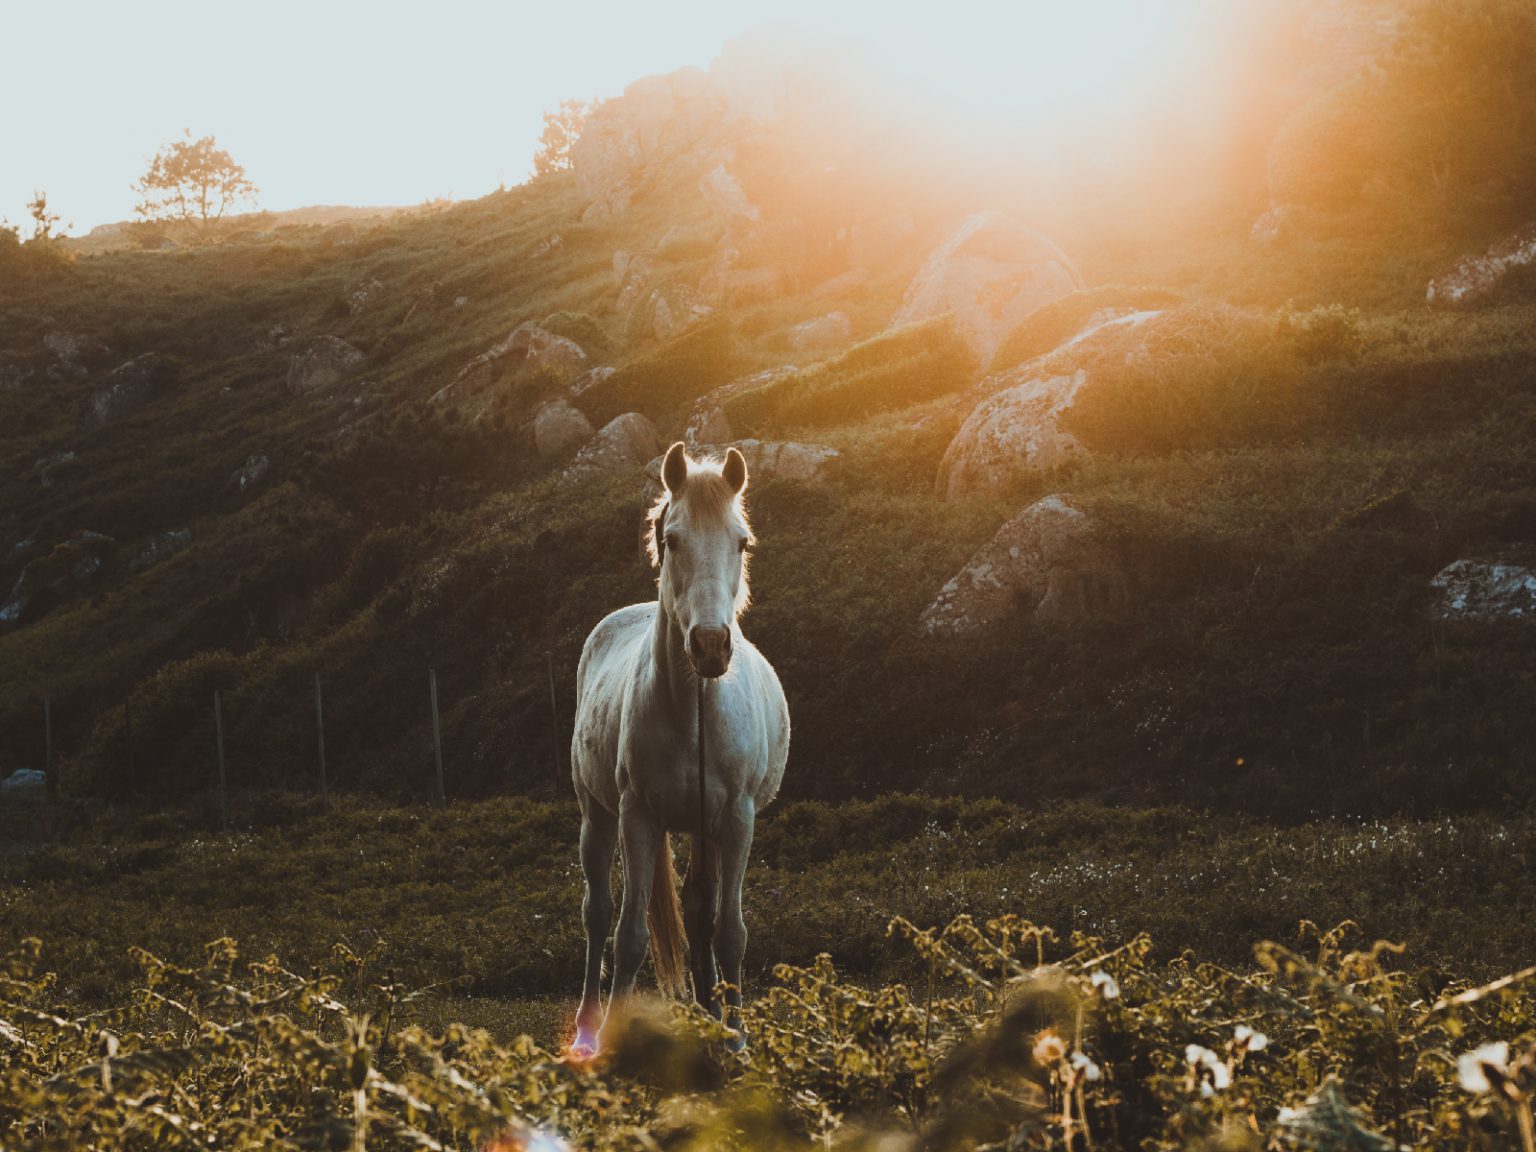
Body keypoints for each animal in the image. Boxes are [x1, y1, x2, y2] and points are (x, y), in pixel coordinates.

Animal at [574, 442, 792, 1056]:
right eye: (672, 540)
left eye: (741, 542)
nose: (711, 645)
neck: (693, 712)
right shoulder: (638, 817)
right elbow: (629, 935)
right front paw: (612, 1042)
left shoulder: (736, 819)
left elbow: (728, 932)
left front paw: (736, 1038)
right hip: (597, 815)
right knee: (597, 914)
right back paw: (587, 1028)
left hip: (701, 829)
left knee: (697, 912)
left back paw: (708, 1012)